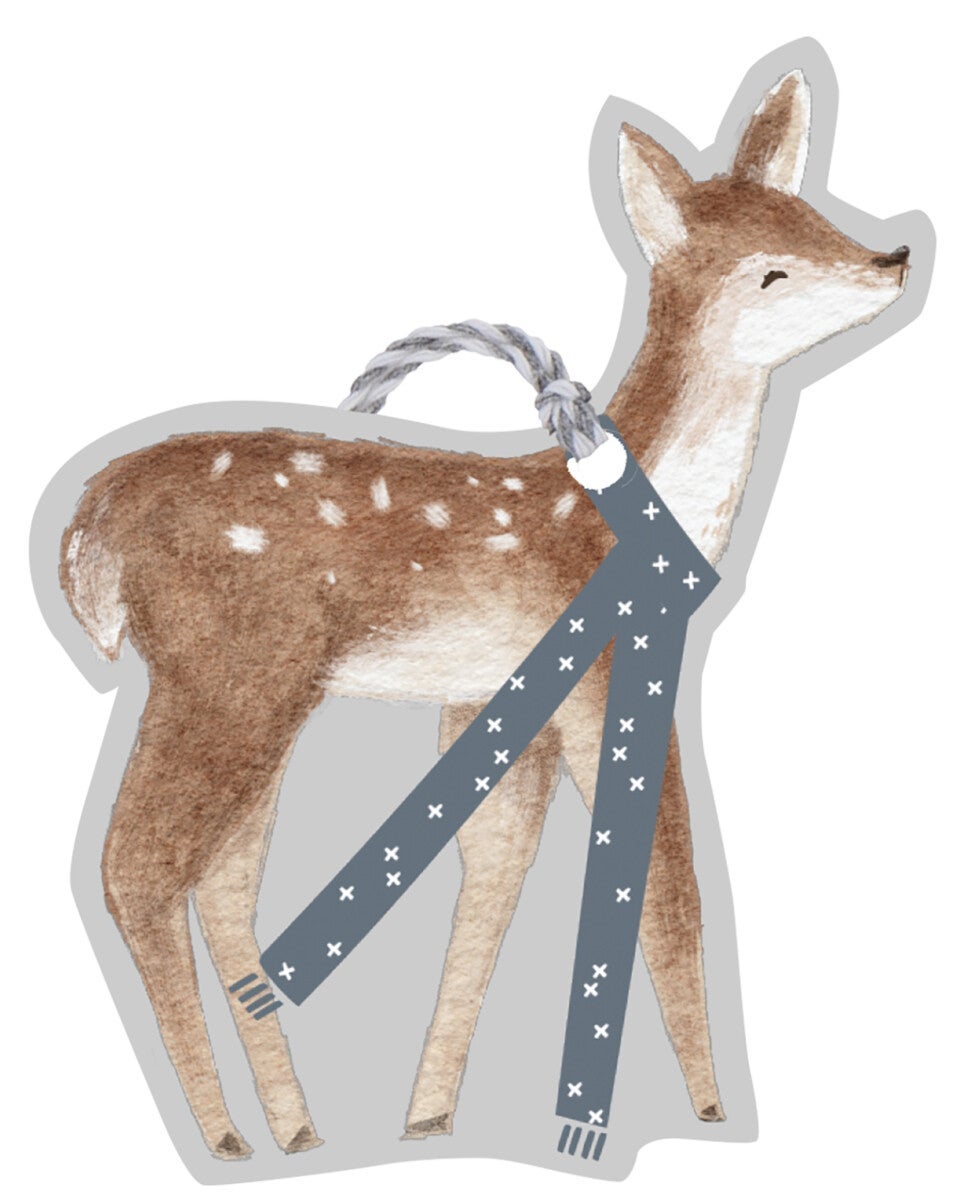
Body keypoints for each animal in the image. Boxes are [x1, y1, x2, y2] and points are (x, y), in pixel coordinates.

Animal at [58, 69, 911, 1161]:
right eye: (770, 272)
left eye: (815, 217)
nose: (893, 258)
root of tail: (90, 533)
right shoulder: (608, 669)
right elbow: (666, 886)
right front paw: (713, 1113)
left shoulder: (498, 699)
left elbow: (495, 878)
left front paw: (427, 1118)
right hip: (226, 670)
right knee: (134, 867)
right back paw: (223, 1138)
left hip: (259, 693)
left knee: (220, 882)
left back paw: (297, 1130)